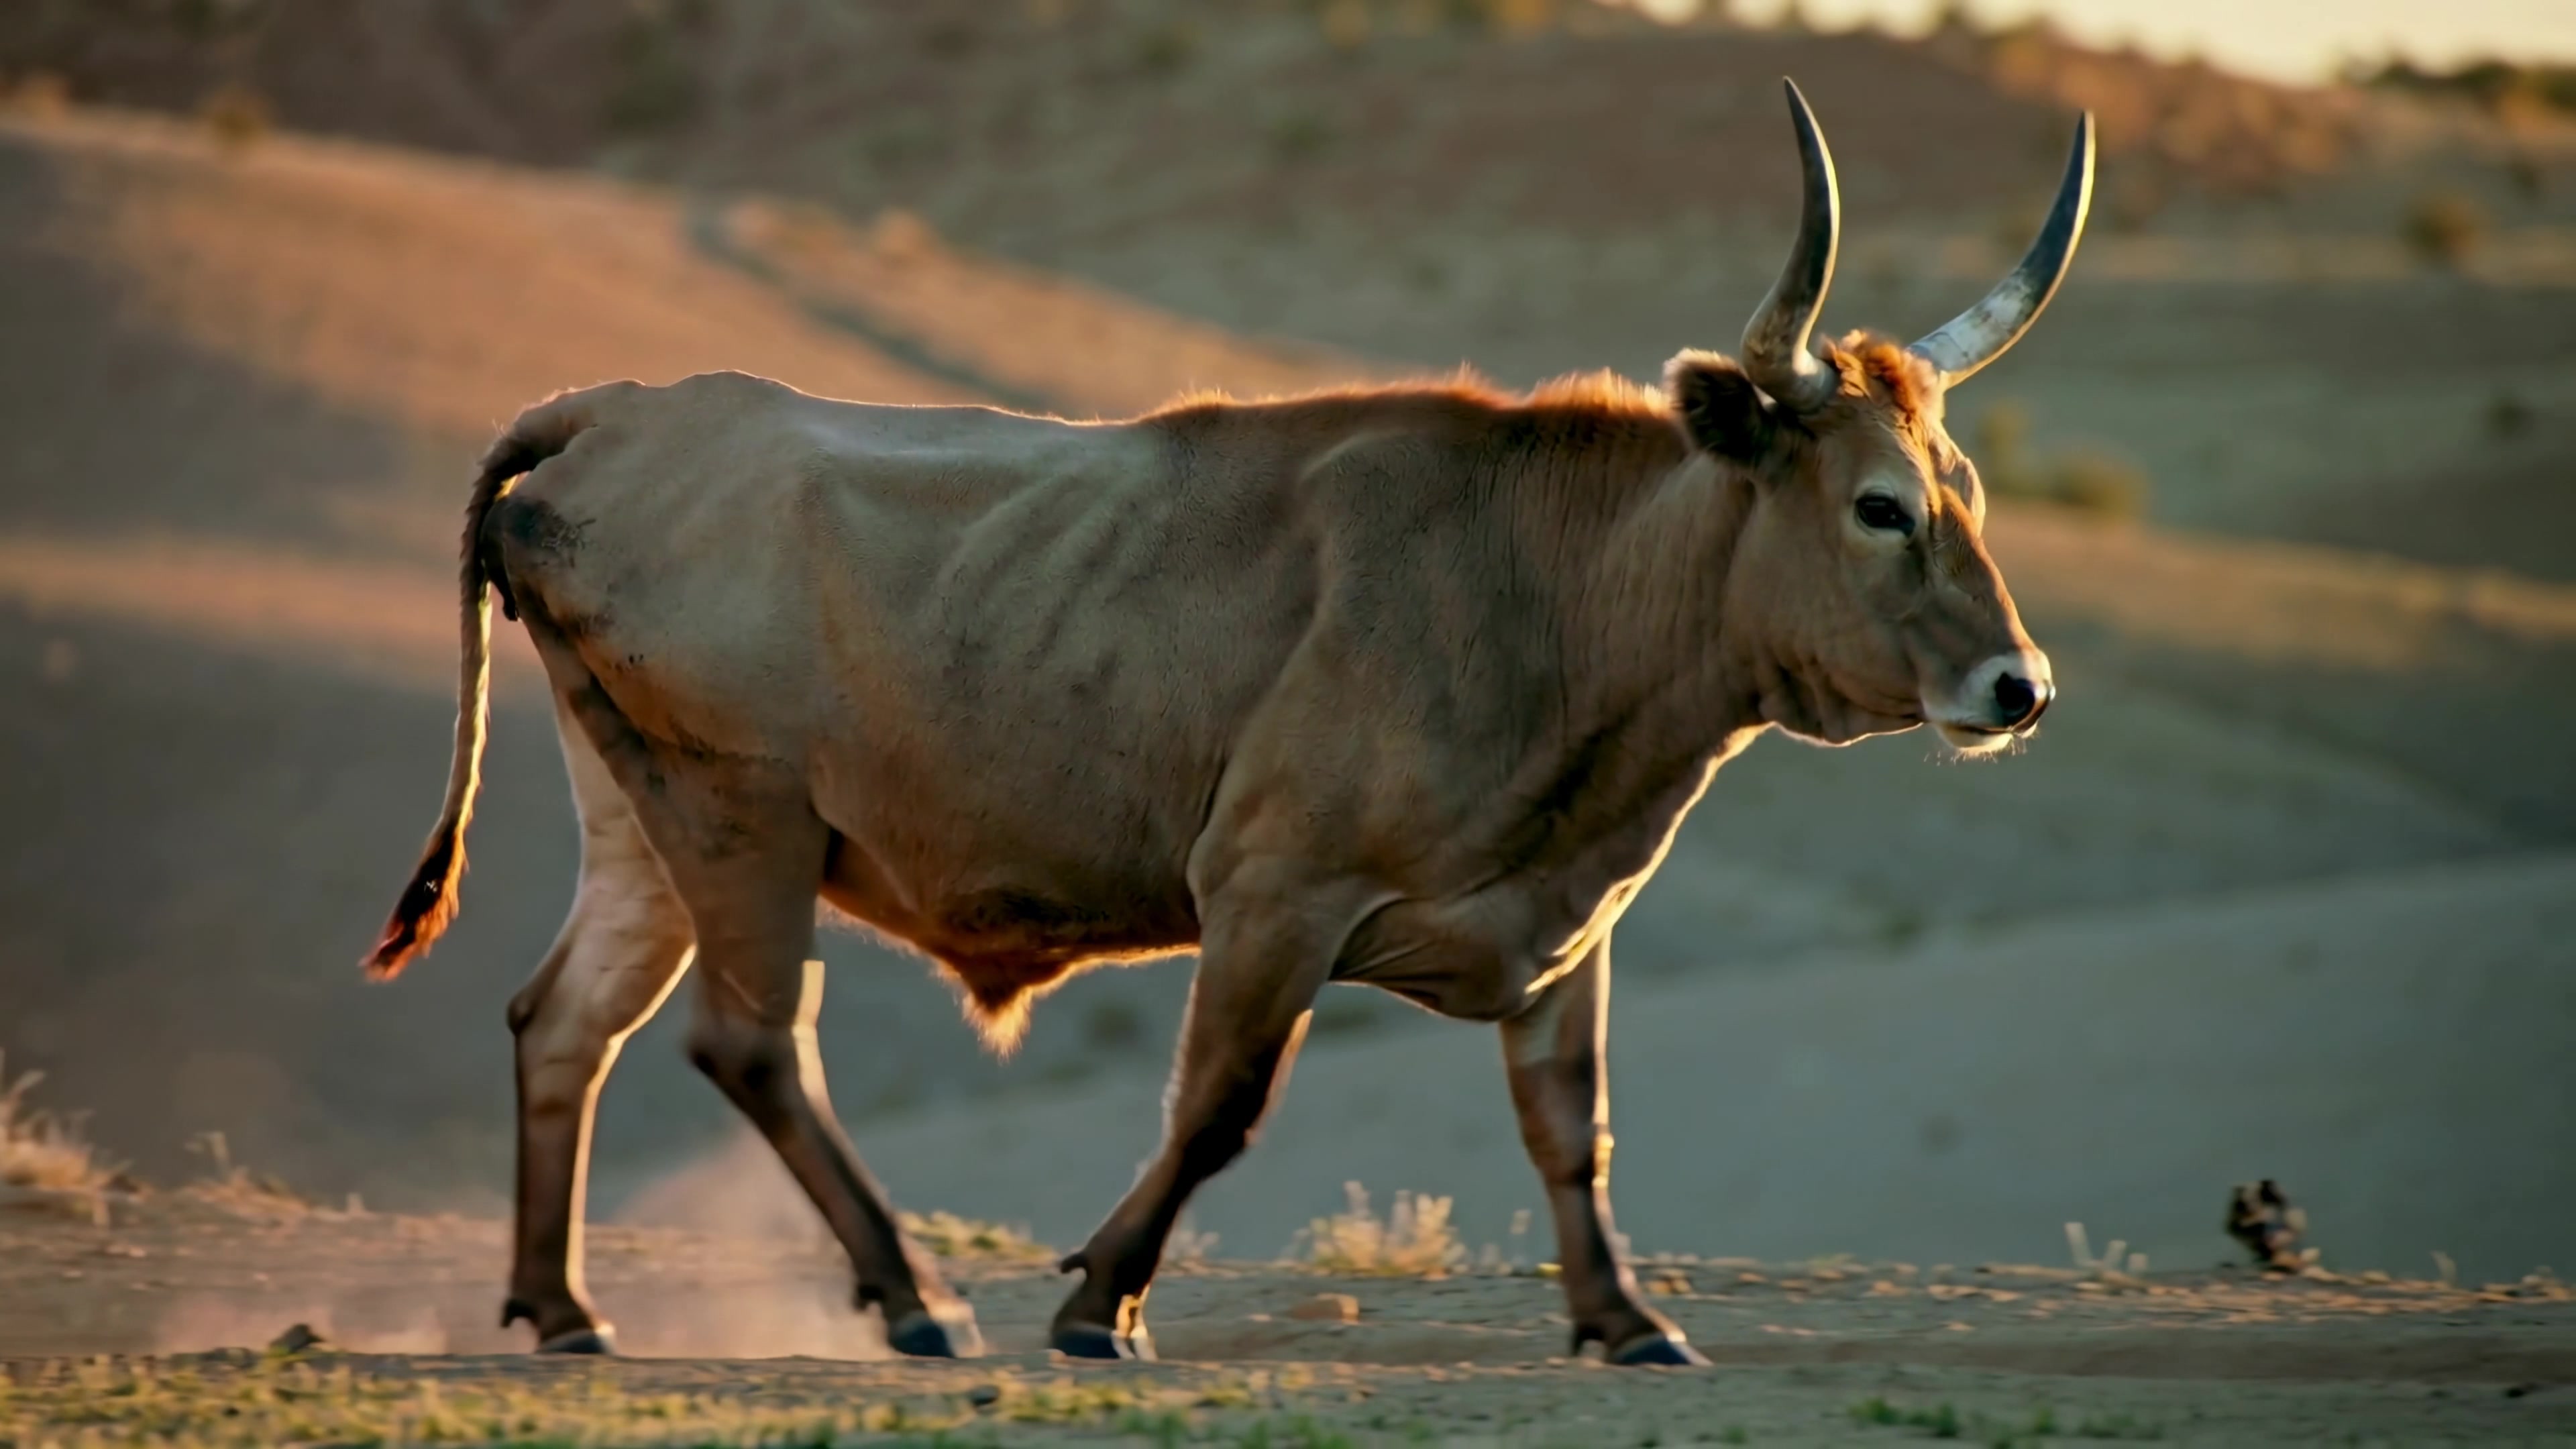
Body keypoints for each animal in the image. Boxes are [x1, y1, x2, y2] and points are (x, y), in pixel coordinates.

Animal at [365, 79, 2092, 1367]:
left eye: (1964, 490)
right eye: (1878, 505)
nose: (2019, 689)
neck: (1542, 580)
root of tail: (622, 411)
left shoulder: (1565, 928)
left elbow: (1570, 1129)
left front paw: (1624, 1321)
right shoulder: (1271, 892)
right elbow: (1217, 1107)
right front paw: (1094, 1303)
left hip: (643, 826)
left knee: (564, 1023)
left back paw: (565, 1311)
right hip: (742, 820)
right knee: (750, 1038)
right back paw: (916, 1302)